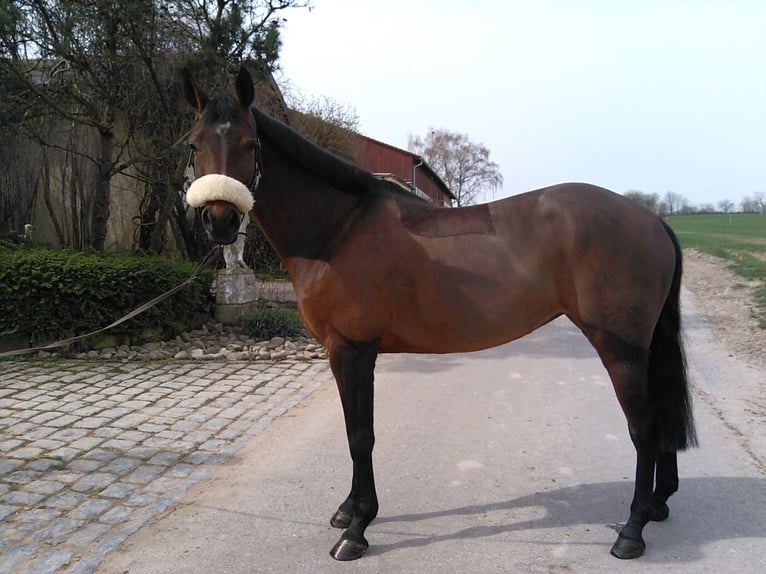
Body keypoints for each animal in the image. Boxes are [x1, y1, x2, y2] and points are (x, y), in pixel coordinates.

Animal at [184, 67, 696, 564]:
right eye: (194, 144)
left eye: (250, 145)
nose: (219, 220)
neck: (338, 231)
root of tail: (649, 219)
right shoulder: (340, 353)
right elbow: (352, 431)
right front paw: (348, 510)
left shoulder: (353, 351)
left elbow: (360, 435)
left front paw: (357, 529)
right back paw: (657, 504)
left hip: (621, 349)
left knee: (643, 427)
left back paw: (631, 531)